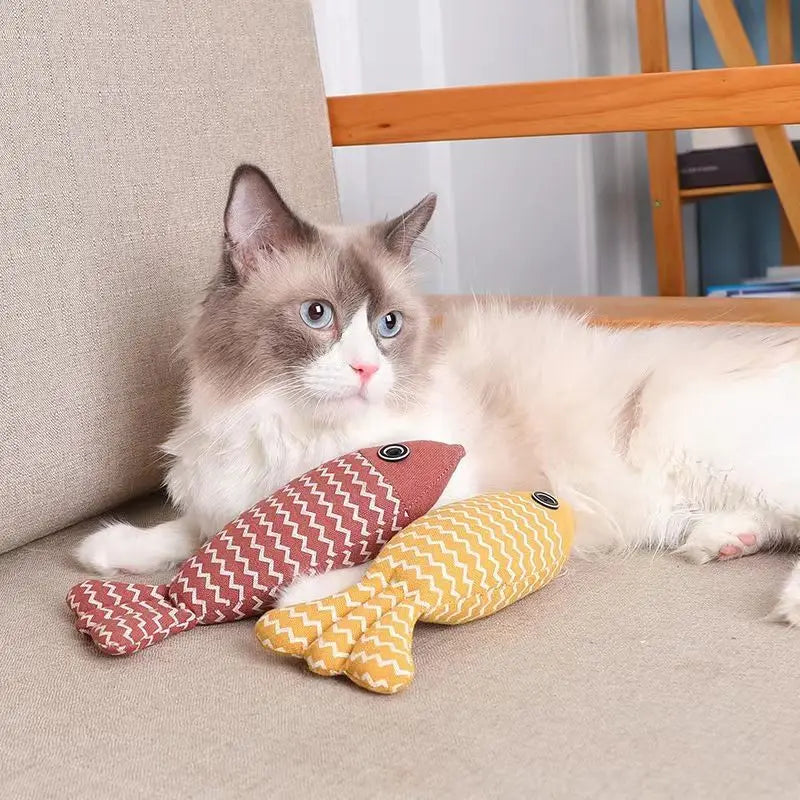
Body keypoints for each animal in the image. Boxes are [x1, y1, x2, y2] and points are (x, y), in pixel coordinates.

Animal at [76, 164, 800, 624]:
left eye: (389, 325)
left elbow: (378, 561)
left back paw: (785, 605)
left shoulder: (453, 497)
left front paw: (300, 593)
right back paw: (721, 541)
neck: (294, 434)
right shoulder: (224, 499)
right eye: (318, 315)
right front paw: (111, 552)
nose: (367, 371)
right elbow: (192, 534)